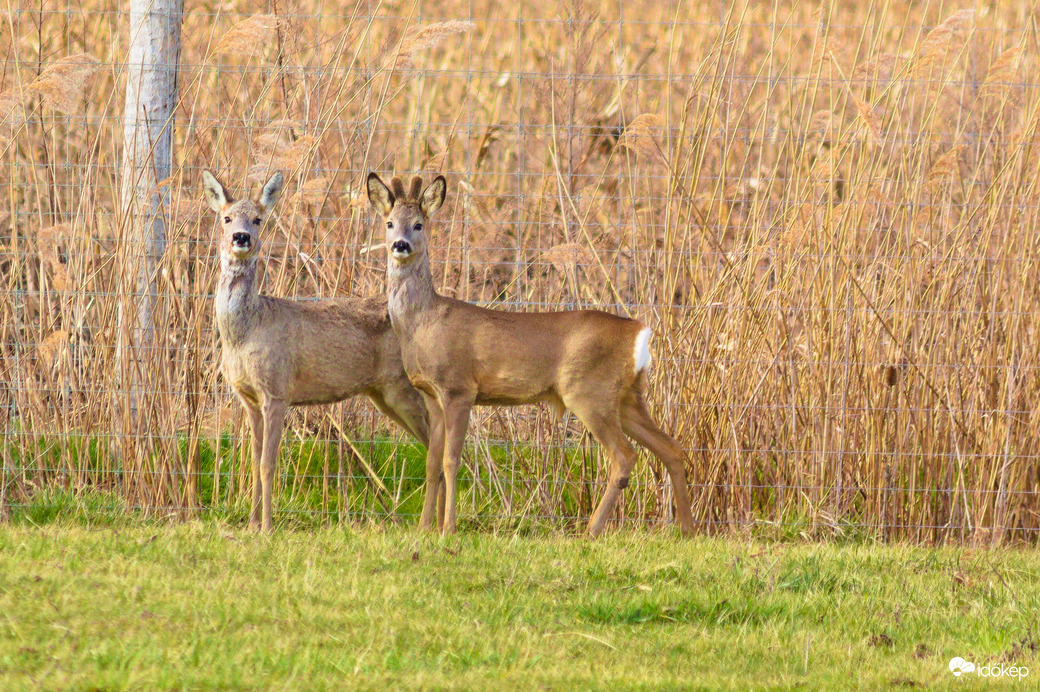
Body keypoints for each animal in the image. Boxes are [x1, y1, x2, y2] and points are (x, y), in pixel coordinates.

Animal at [203, 169, 443, 530]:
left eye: (258, 219)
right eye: (226, 217)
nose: (241, 237)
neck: (245, 331)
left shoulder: (277, 391)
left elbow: (267, 465)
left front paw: (267, 528)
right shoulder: (248, 398)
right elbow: (255, 463)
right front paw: (251, 524)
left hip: (404, 389)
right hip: (383, 395)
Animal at [370, 172, 694, 532]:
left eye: (419, 224)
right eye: (388, 223)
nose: (400, 245)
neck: (422, 322)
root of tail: (640, 333)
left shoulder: (459, 389)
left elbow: (451, 460)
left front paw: (448, 529)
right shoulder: (431, 395)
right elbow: (431, 462)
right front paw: (426, 528)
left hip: (588, 391)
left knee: (625, 457)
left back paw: (591, 530)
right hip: (626, 396)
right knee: (671, 448)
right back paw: (687, 530)